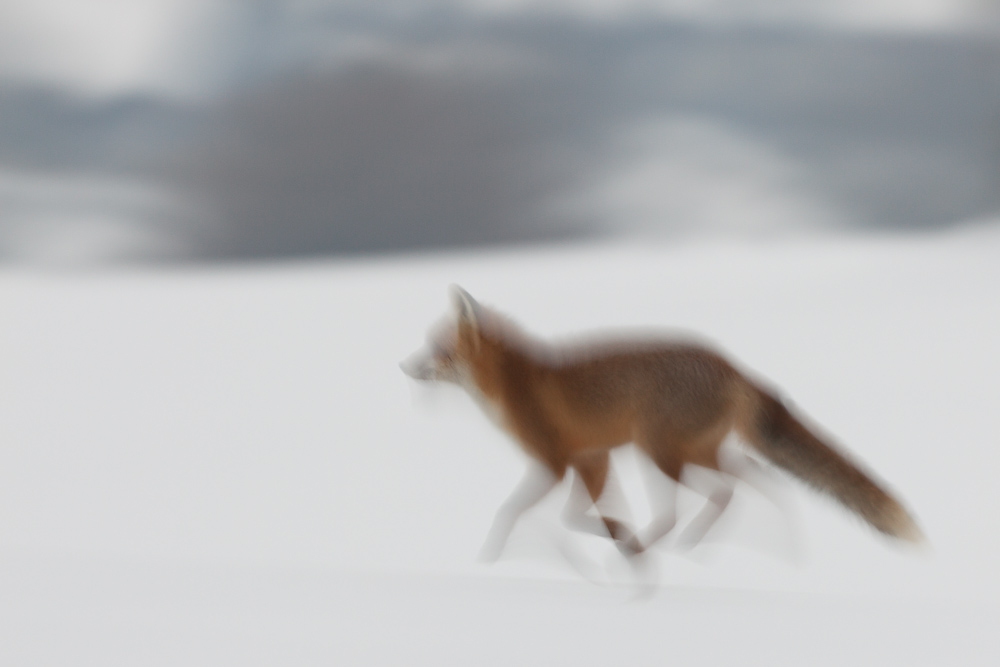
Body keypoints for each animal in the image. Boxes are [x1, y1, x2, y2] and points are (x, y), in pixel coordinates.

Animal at [398, 288, 920, 564]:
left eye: (437, 351)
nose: (402, 366)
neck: (515, 385)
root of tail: (732, 365)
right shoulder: (594, 458)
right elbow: (574, 517)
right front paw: (615, 537)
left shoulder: (556, 462)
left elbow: (515, 513)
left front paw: (487, 561)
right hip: (694, 453)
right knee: (752, 485)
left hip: (660, 451)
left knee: (688, 508)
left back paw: (660, 546)